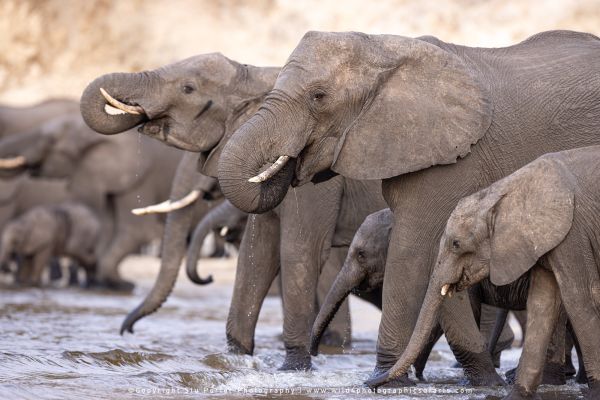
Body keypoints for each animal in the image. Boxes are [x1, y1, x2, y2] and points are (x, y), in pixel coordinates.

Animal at [0, 112, 182, 290]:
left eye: (50, 140)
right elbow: (108, 226)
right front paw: (108, 283)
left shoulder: (141, 180)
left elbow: (138, 230)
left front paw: (120, 284)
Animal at [79, 54, 398, 372]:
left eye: (188, 89)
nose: (127, 330)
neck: (255, 74)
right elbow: (256, 252)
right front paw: (234, 358)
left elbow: (301, 250)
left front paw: (293, 368)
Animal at [368, 145, 600, 398]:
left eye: (456, 244)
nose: (369, 384)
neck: (506, 190)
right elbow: (542, 305)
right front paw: (515, 395)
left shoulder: (573, 234)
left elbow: (579, 299)